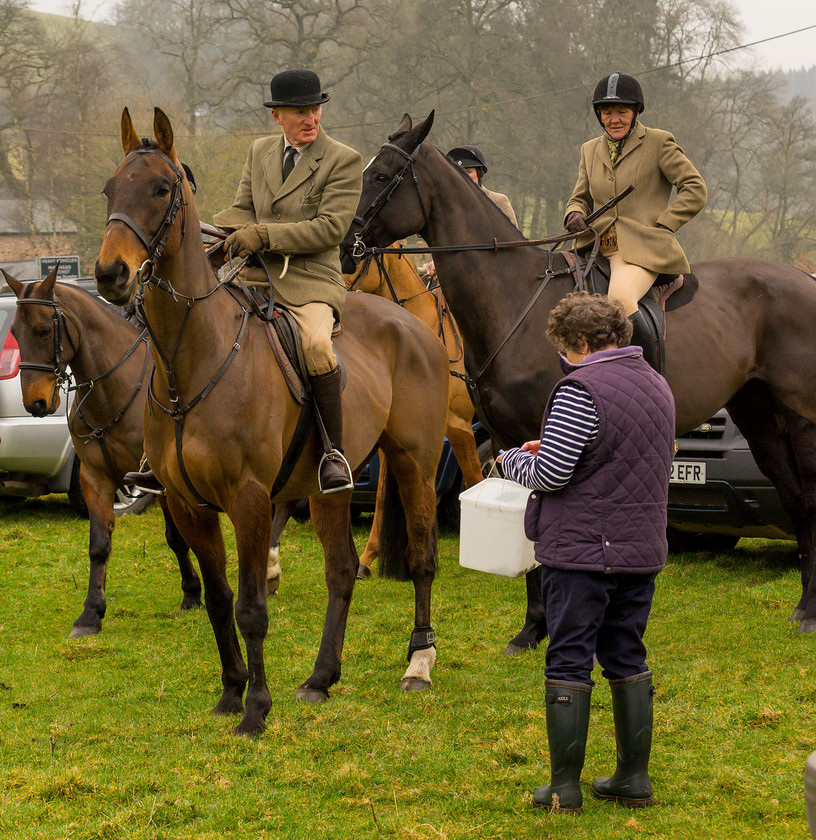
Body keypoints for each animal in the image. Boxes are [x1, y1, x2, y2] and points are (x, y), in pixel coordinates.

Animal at [1, 268, 202, 636]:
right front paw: (90, 614)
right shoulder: (95, 478)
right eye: (15, 334)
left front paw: (192, 595)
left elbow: (175, 537)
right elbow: (98, 545)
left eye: (45, 330)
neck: (115, 390)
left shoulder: (158, 482)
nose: (35, 403)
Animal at [92, 106, 450, 736]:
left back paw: (418, 664)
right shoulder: (189, 504)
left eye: (160, 189)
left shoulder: (250, 500)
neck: (194, 358)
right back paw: (320, 678)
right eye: (111, 189)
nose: (110, 274)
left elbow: (252, 607)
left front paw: (256, 709)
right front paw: (231, 692)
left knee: (423, 559)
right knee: (339, 572)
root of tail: (414, 323)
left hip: (414, 464)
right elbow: (217, 599)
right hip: (330, 486)